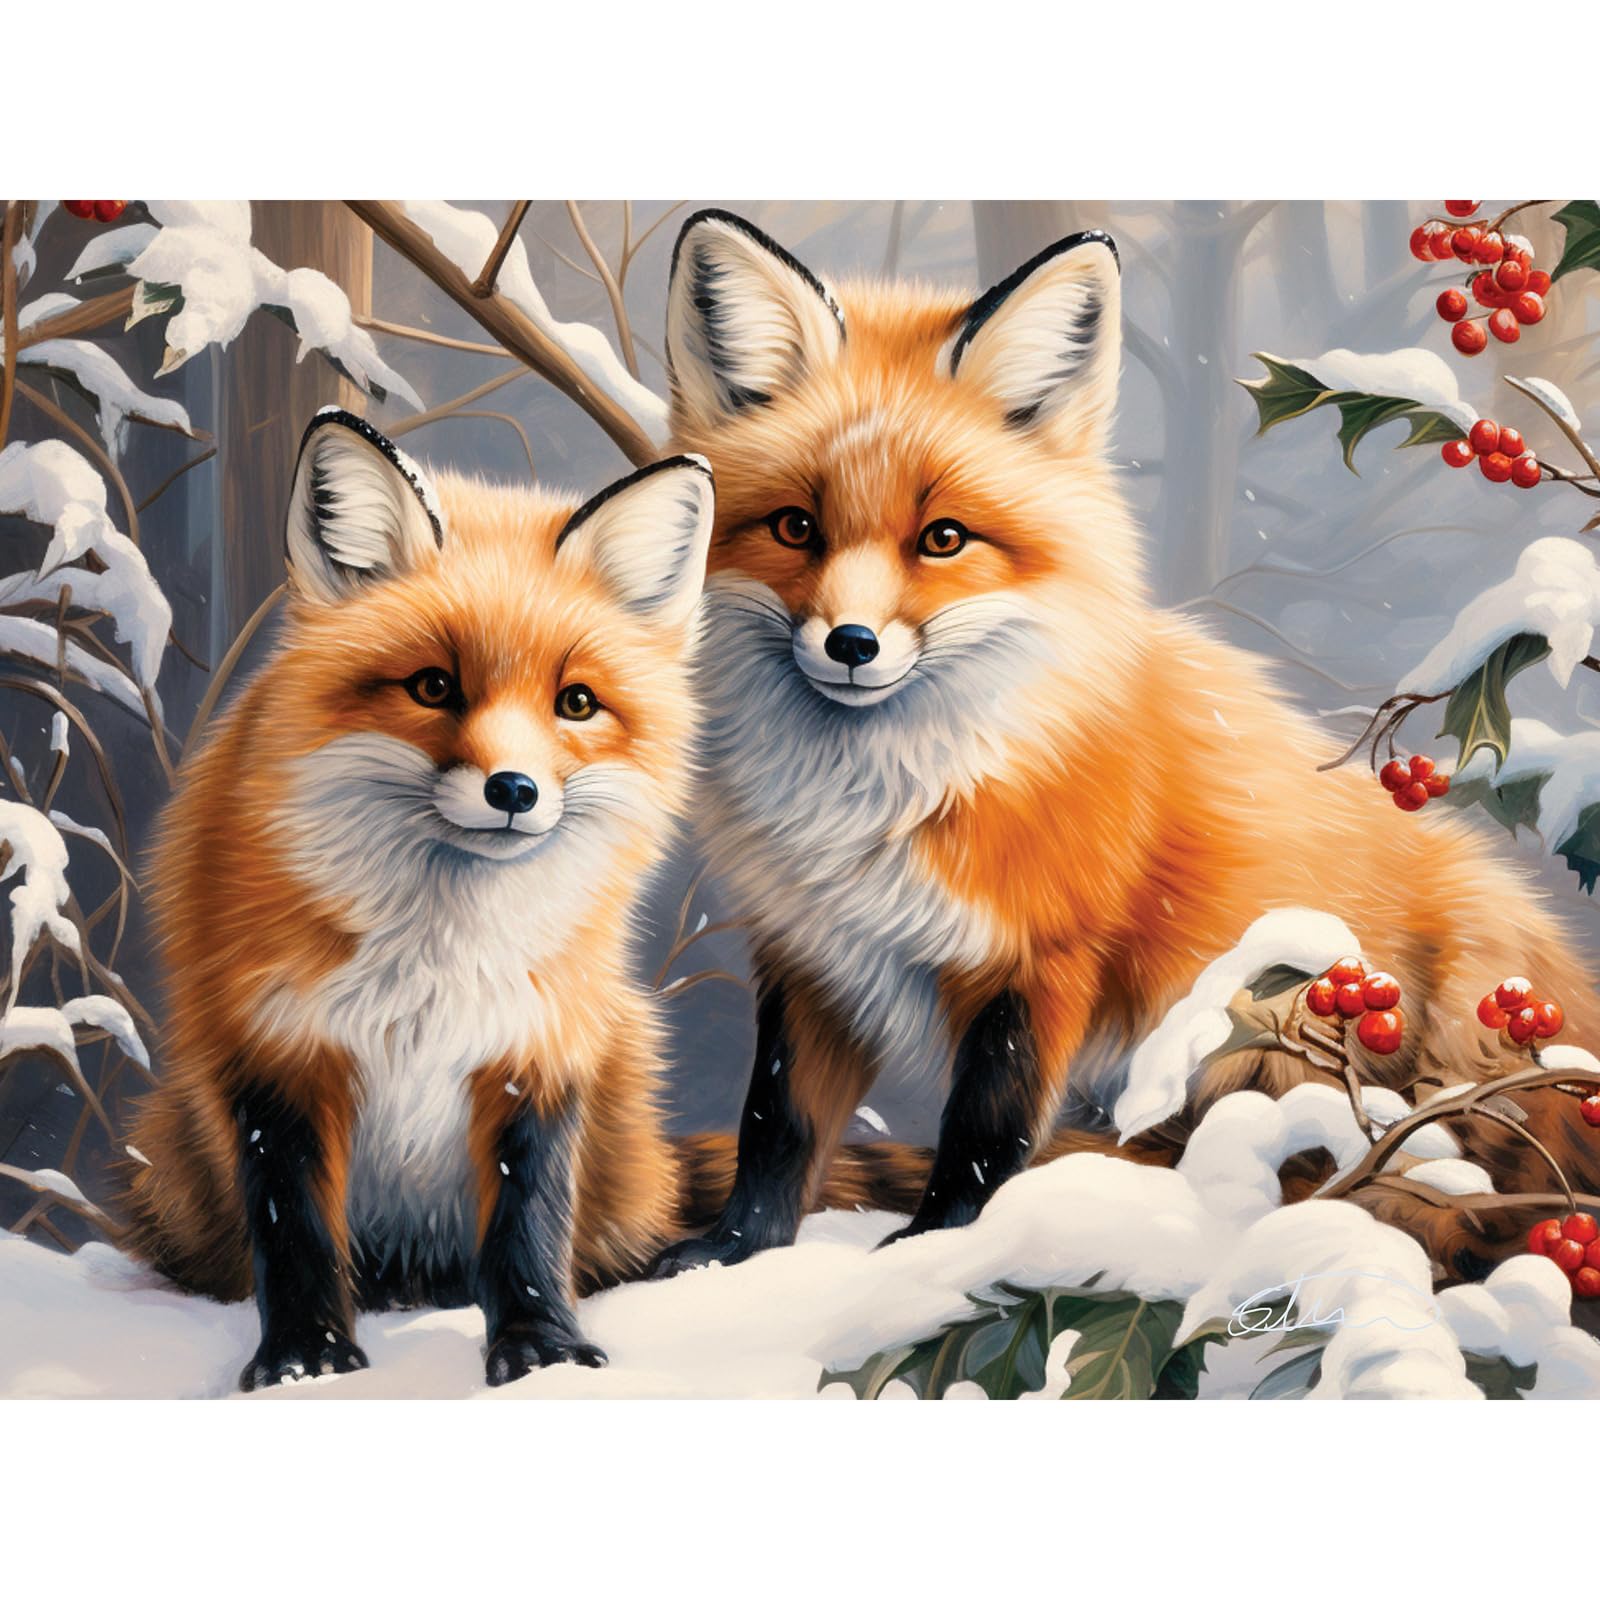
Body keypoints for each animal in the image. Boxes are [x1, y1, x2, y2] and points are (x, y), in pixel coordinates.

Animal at [646, 208, 1600, 1283]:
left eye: (944, 539)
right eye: (794, 527)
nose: (851, 645)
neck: (887, 799)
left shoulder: (1044, 959)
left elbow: (984, 1134)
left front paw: (934, 1256)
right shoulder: (815, 955)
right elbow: (780, 1126)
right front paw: (734, 1255)